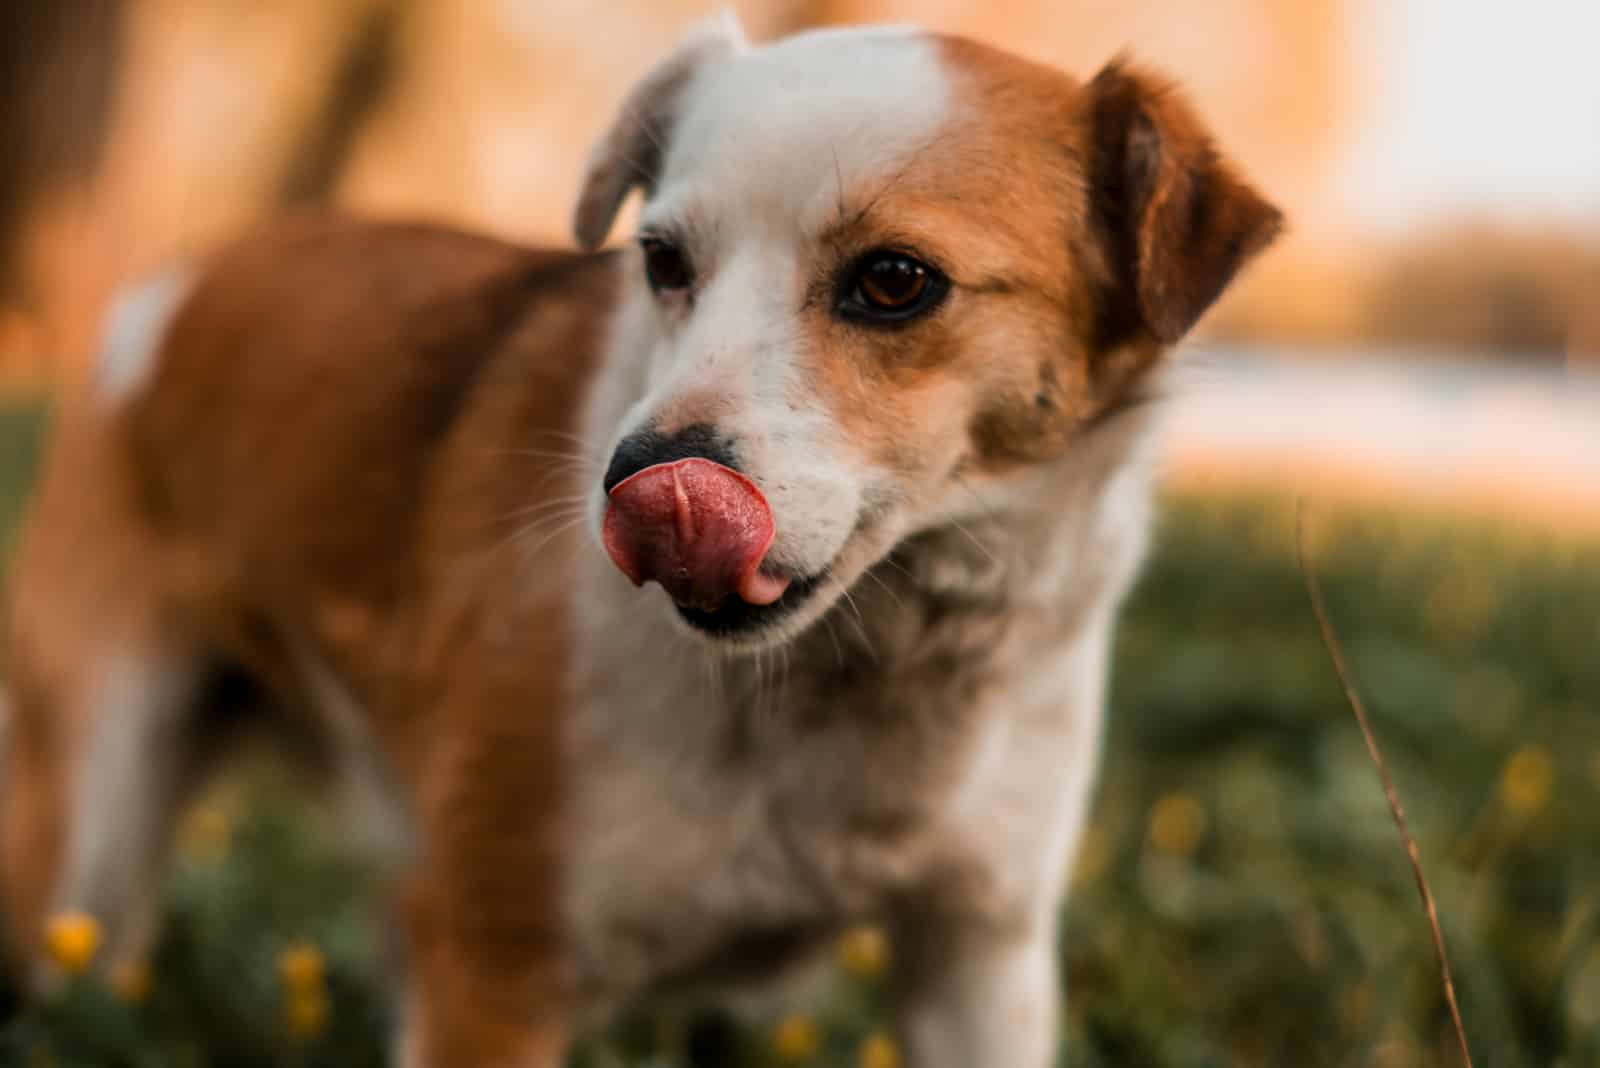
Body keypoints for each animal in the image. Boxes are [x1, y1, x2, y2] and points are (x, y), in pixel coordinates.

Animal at [0, 16, 1273, 1068]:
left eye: (895, 281)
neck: (847, 679)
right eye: (663, 261)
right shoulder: (492, 965)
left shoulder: (975, 956)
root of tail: (183, 277)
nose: (634, 483)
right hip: (84, 843)